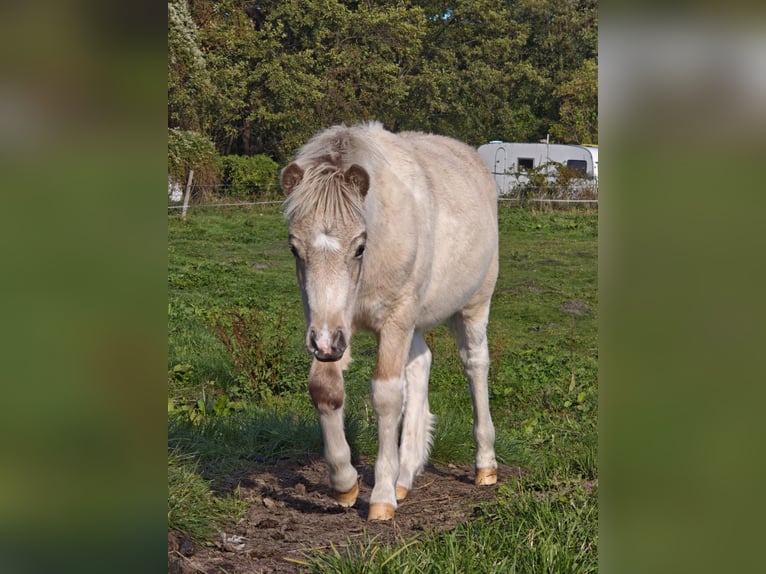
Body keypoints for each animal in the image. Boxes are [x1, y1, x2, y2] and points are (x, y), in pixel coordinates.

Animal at [281, 121, 498, 521]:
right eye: (294, 248)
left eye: (360, 246)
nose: (324, 342)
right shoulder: (330, 323)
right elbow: (325, 387)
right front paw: (345, 483)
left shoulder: (394, 320)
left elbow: (386, 395)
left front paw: (381, 497)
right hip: (413, 320)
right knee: (420, 364)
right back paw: (406, 474)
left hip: (472, 305)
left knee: (475, 365)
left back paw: (484, 466)